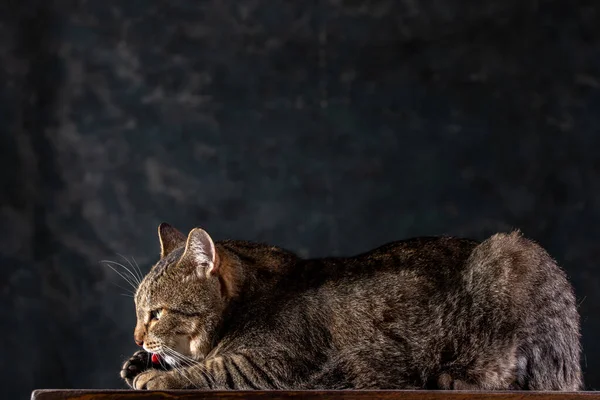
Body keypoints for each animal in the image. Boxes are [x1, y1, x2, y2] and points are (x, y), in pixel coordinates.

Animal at [119, 223, 584, 392]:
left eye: (156, 313)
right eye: (138, 312)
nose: (136, 335)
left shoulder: (279, 364)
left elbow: (214, 370)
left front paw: (156, 376)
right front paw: (140, 362)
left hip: (516, 258)